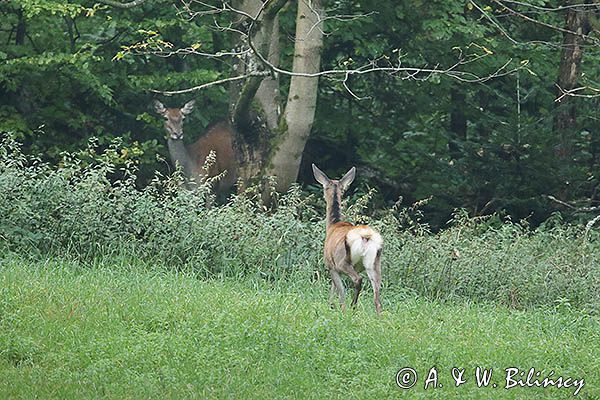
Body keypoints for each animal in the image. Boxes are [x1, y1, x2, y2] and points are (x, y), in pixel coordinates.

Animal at [312, 164, 382, 314]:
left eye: (324, 188)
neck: (333, 225)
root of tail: (365, 236)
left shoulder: (331, 265)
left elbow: (339, 291)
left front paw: (333, 306)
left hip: (343, 261)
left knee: (357, 281)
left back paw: (351, 307)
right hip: (374, 264)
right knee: (377, 297)